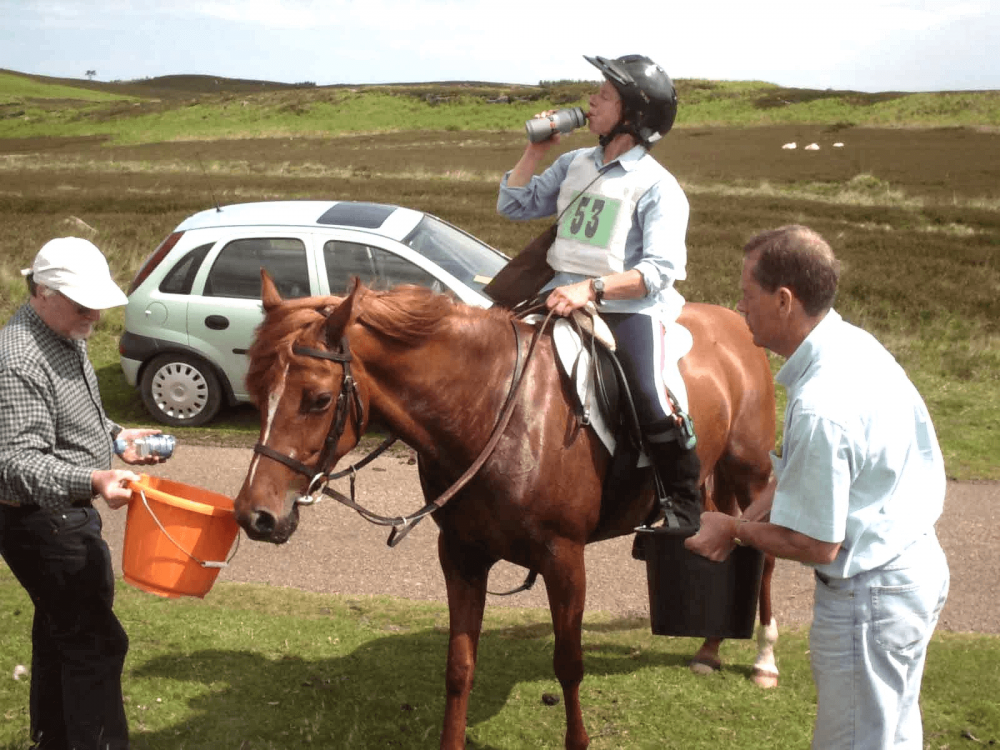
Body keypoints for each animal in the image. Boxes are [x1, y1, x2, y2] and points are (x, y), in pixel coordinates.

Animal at [233, 273, 778, 750]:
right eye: (257, 391)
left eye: (319, 399)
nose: (255, 515)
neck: (495, 410)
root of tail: (736, 323)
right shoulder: (461, 556)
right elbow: (459, 665)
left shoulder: (564, 559)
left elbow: (569, 663)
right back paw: (709, 647)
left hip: (751, 472)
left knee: (767, 554)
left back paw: (764, 660)